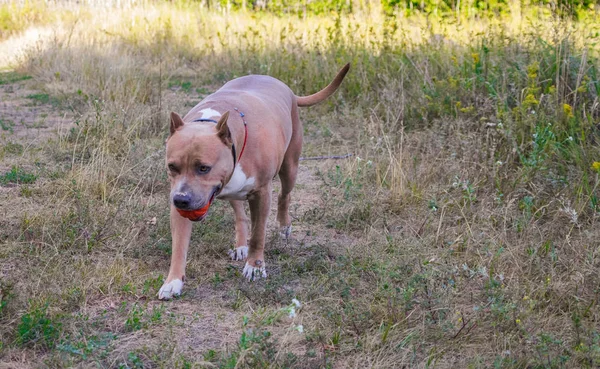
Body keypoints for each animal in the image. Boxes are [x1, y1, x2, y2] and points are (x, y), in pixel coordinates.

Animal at [157, 63, 350, 300]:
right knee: (240, 214)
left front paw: (255, 267)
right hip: (230, 188)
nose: (181, 200)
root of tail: (288, 89)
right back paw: (241, 245)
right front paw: (173, 282)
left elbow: (259, 234)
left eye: (204, 168)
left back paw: (284, 226)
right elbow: (179, 246)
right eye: (172, 167)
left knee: (284, 194)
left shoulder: (261, 193)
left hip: (290, 167)